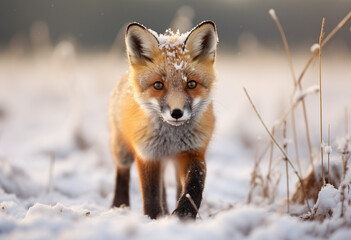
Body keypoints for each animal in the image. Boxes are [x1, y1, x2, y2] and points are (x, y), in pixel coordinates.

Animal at [110, 20, 219, 219]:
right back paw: (119, 206)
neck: (171, 138)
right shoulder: (147, 154)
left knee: (173, 186)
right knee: (122, 173)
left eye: (191, 84)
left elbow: (194, 185)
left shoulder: (193, 151)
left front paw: (184, 213)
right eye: (158, 85)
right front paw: (152, 218)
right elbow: (151, 194)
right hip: (122, 150)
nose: (176, 113)